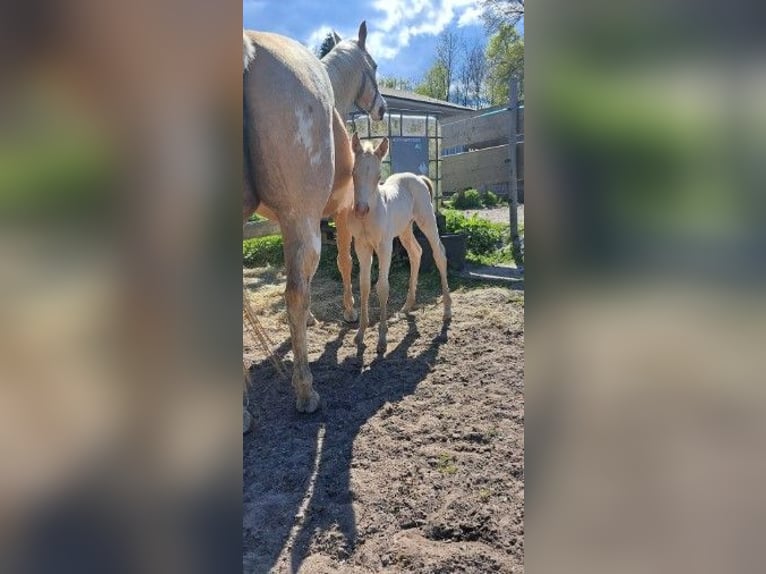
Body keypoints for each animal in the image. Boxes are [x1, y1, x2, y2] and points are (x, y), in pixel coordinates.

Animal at [348, 133, 452, 354]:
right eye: (353, 172)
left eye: (378, 175)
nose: (361, 209)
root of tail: (418, 178)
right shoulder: (361, 246)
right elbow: (364, 285)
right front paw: (360, 334)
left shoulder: (384, 246)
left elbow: (382, 287)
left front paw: (382, 340)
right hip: (405, 229)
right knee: (416, 252)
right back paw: (408, 305)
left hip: (426, 220)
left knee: (439, 253)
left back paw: (447, 311)